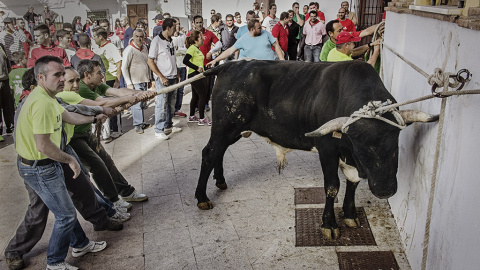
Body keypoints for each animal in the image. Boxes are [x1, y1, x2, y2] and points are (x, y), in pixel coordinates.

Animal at [193, 60, 436, 239]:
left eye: (394, 139)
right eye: (359, 142)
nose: (385, 189)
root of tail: (230, 64)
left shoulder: (350, 159)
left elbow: (353, 181)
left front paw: (350, 215)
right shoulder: (328, 149)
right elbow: (332, 187)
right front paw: (329, 224)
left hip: (231, 131)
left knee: (219, 153)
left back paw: (220, 180)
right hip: (224, 126)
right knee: (209, 153)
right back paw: (202, 197)